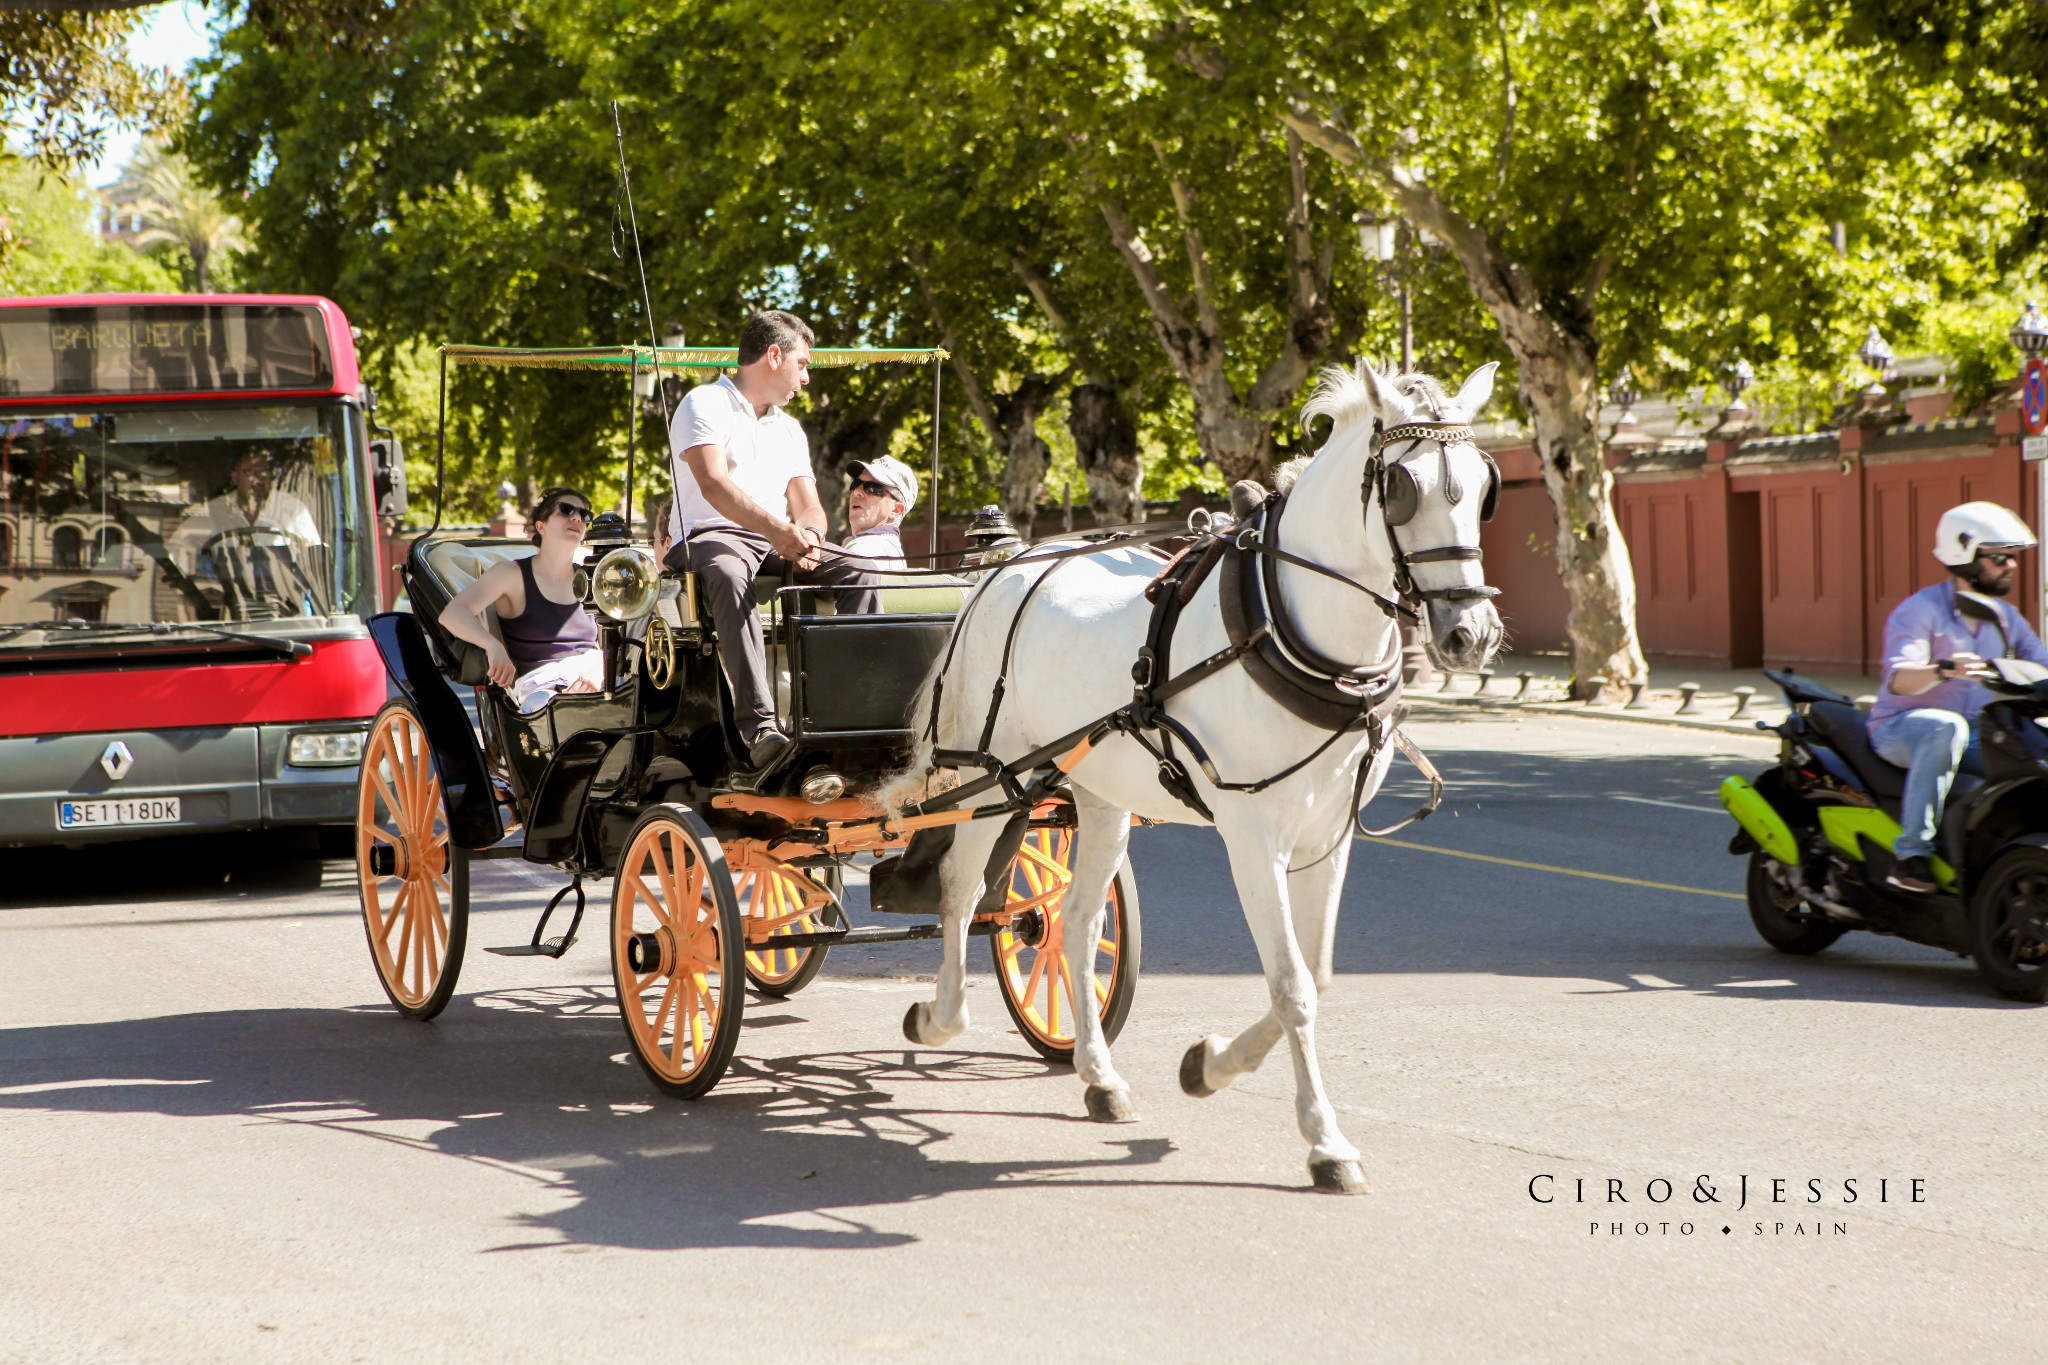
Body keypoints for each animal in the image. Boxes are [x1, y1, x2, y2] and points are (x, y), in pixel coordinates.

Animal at [897, 358, 1507, 1186]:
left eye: (1482, 486)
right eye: (1403, 486)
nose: (1469, 632)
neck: (1284, 633)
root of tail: (1000, 569)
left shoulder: (1327, 836)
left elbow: (1314, 976)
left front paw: (1209, 1064)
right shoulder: (1252, 837)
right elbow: (1292, 985)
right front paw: (1324, 1139)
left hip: (1099, 793)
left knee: (1076, 922)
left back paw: (1098, 1074)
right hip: (986, 776)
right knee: (961, 890)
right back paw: (941, 1015)